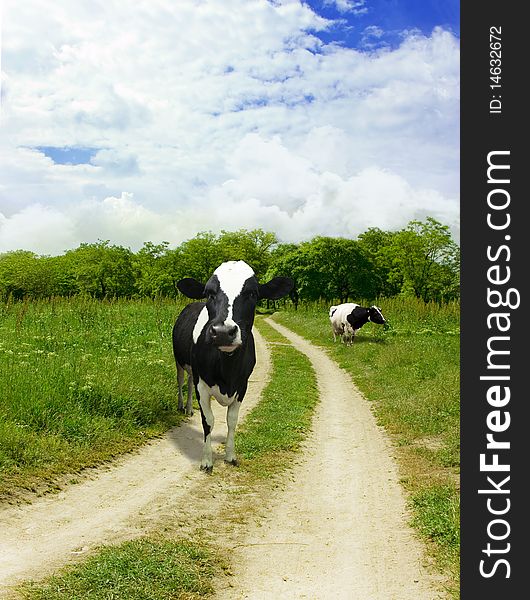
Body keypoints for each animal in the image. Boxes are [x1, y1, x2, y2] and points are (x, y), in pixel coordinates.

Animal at [171, 262, 290, 474]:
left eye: (252, 293)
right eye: (209, 293)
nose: (223, 332)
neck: (227, 371)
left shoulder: (242, 385)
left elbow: (232, 420)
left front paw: (230, 456)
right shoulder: (203, 385)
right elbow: (208, 421)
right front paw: (207, 461)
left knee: (189, 383)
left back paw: (189, 408)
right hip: (179, 360)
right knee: (181, 381)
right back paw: (181, 405)